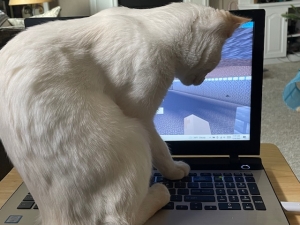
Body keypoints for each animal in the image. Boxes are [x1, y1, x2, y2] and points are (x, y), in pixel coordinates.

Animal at [0, 3, 248, 225]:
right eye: (214, 64)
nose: (200, 82)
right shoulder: (142, 115)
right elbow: (162, 150)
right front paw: (177, 170)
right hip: (134, 133)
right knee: (122, 217)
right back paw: (160, 192)